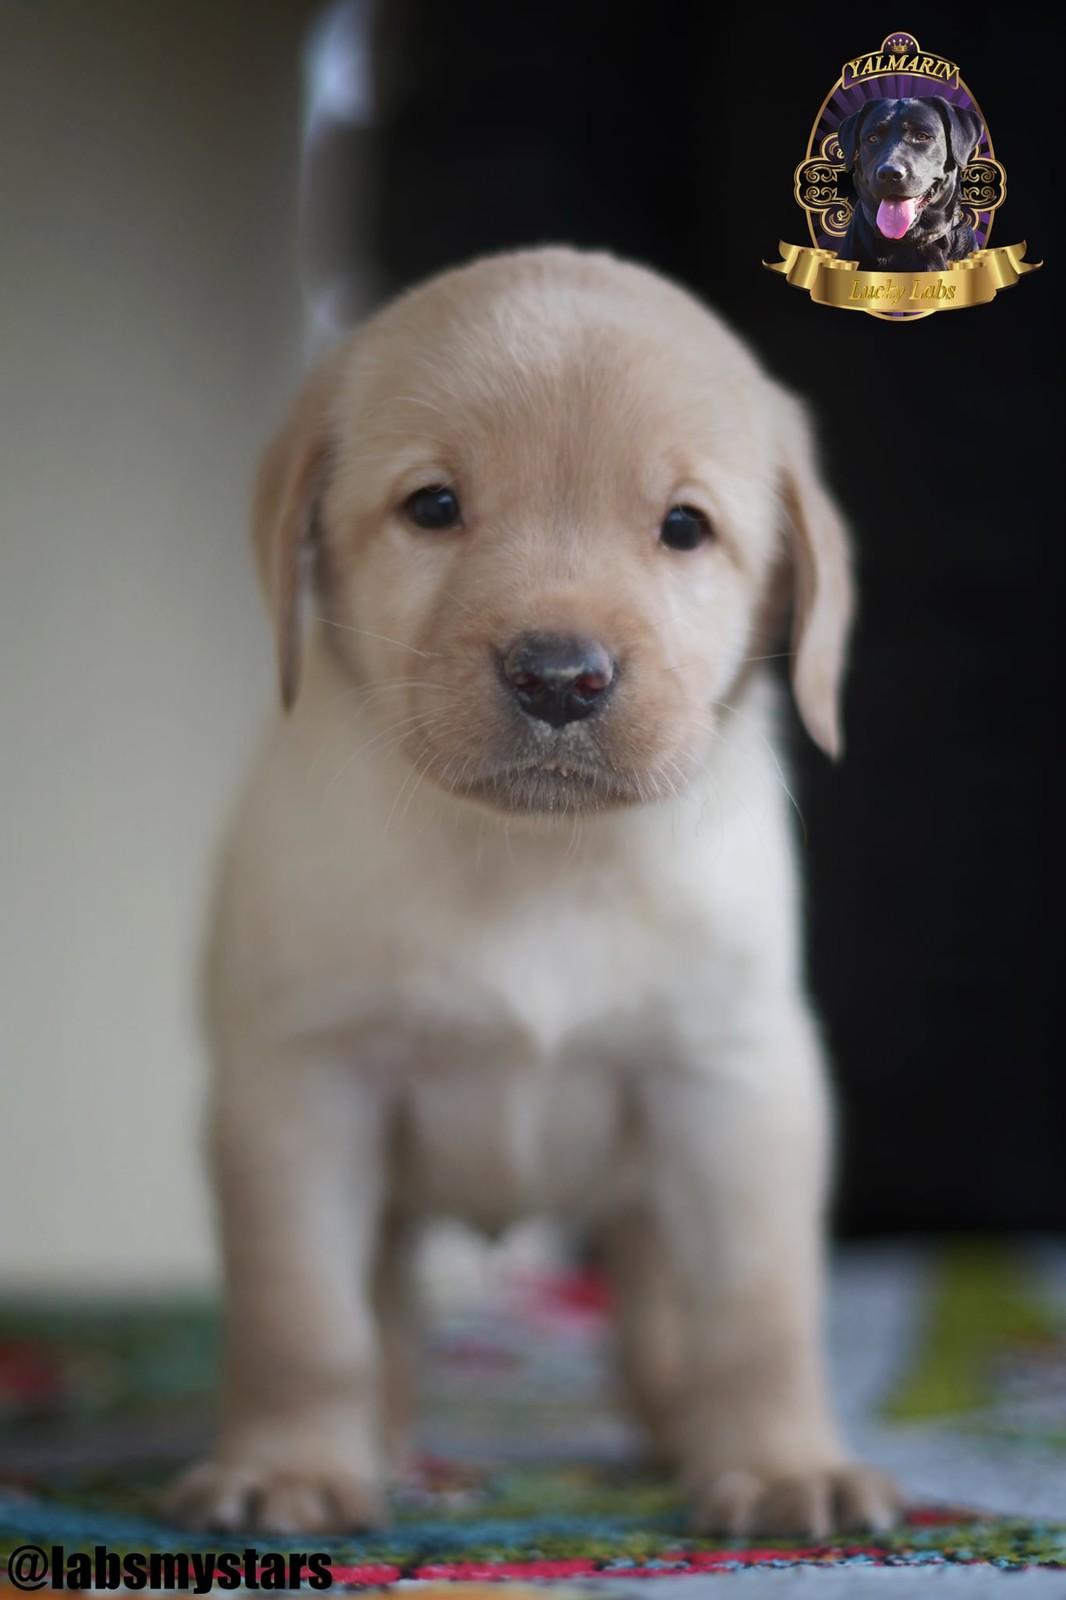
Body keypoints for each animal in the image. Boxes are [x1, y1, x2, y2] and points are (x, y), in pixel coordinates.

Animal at [162, 247, 899, 1540]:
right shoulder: (301, 1085)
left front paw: (781, 1463)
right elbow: (303, 1315)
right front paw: (291, 1462)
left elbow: (757, 1314)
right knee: (384, 1317)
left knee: (658, 1322)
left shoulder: (734, 1083)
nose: (559, 675)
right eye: (433, 506)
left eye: (683, 528)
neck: (535, 862)